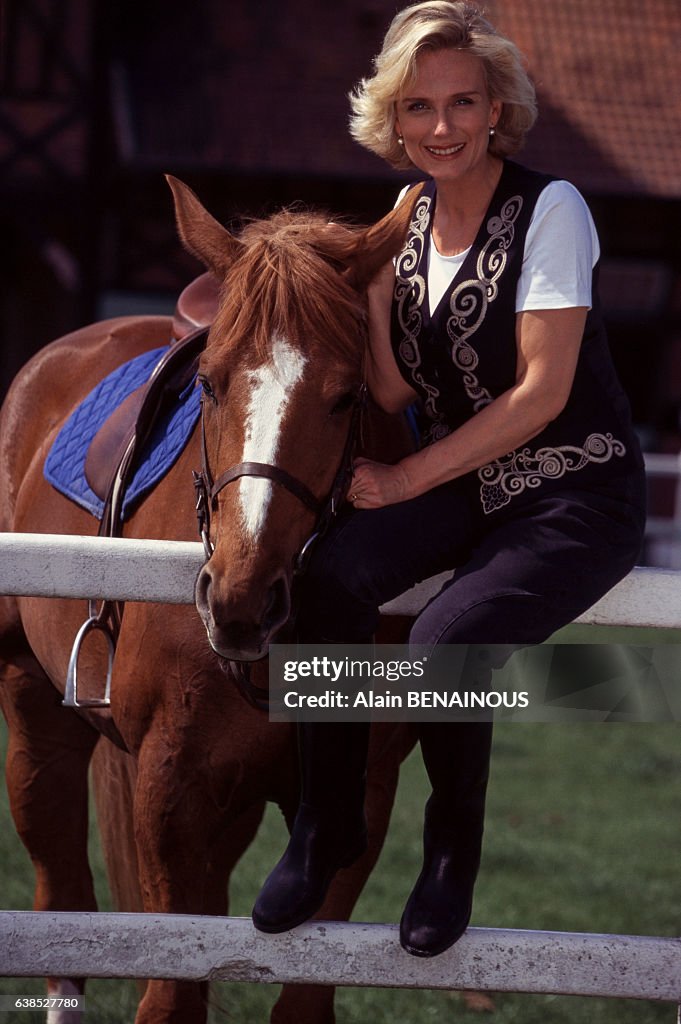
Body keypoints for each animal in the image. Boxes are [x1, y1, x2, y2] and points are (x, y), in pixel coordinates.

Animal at [0, 180, 419, 1019]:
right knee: (62, 901)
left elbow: (300, 1000)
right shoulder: (171, 793)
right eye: (208, 384)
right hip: (34, 728)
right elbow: (170, 994)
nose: (241, 599)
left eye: (346, 396)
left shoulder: (357, 798)